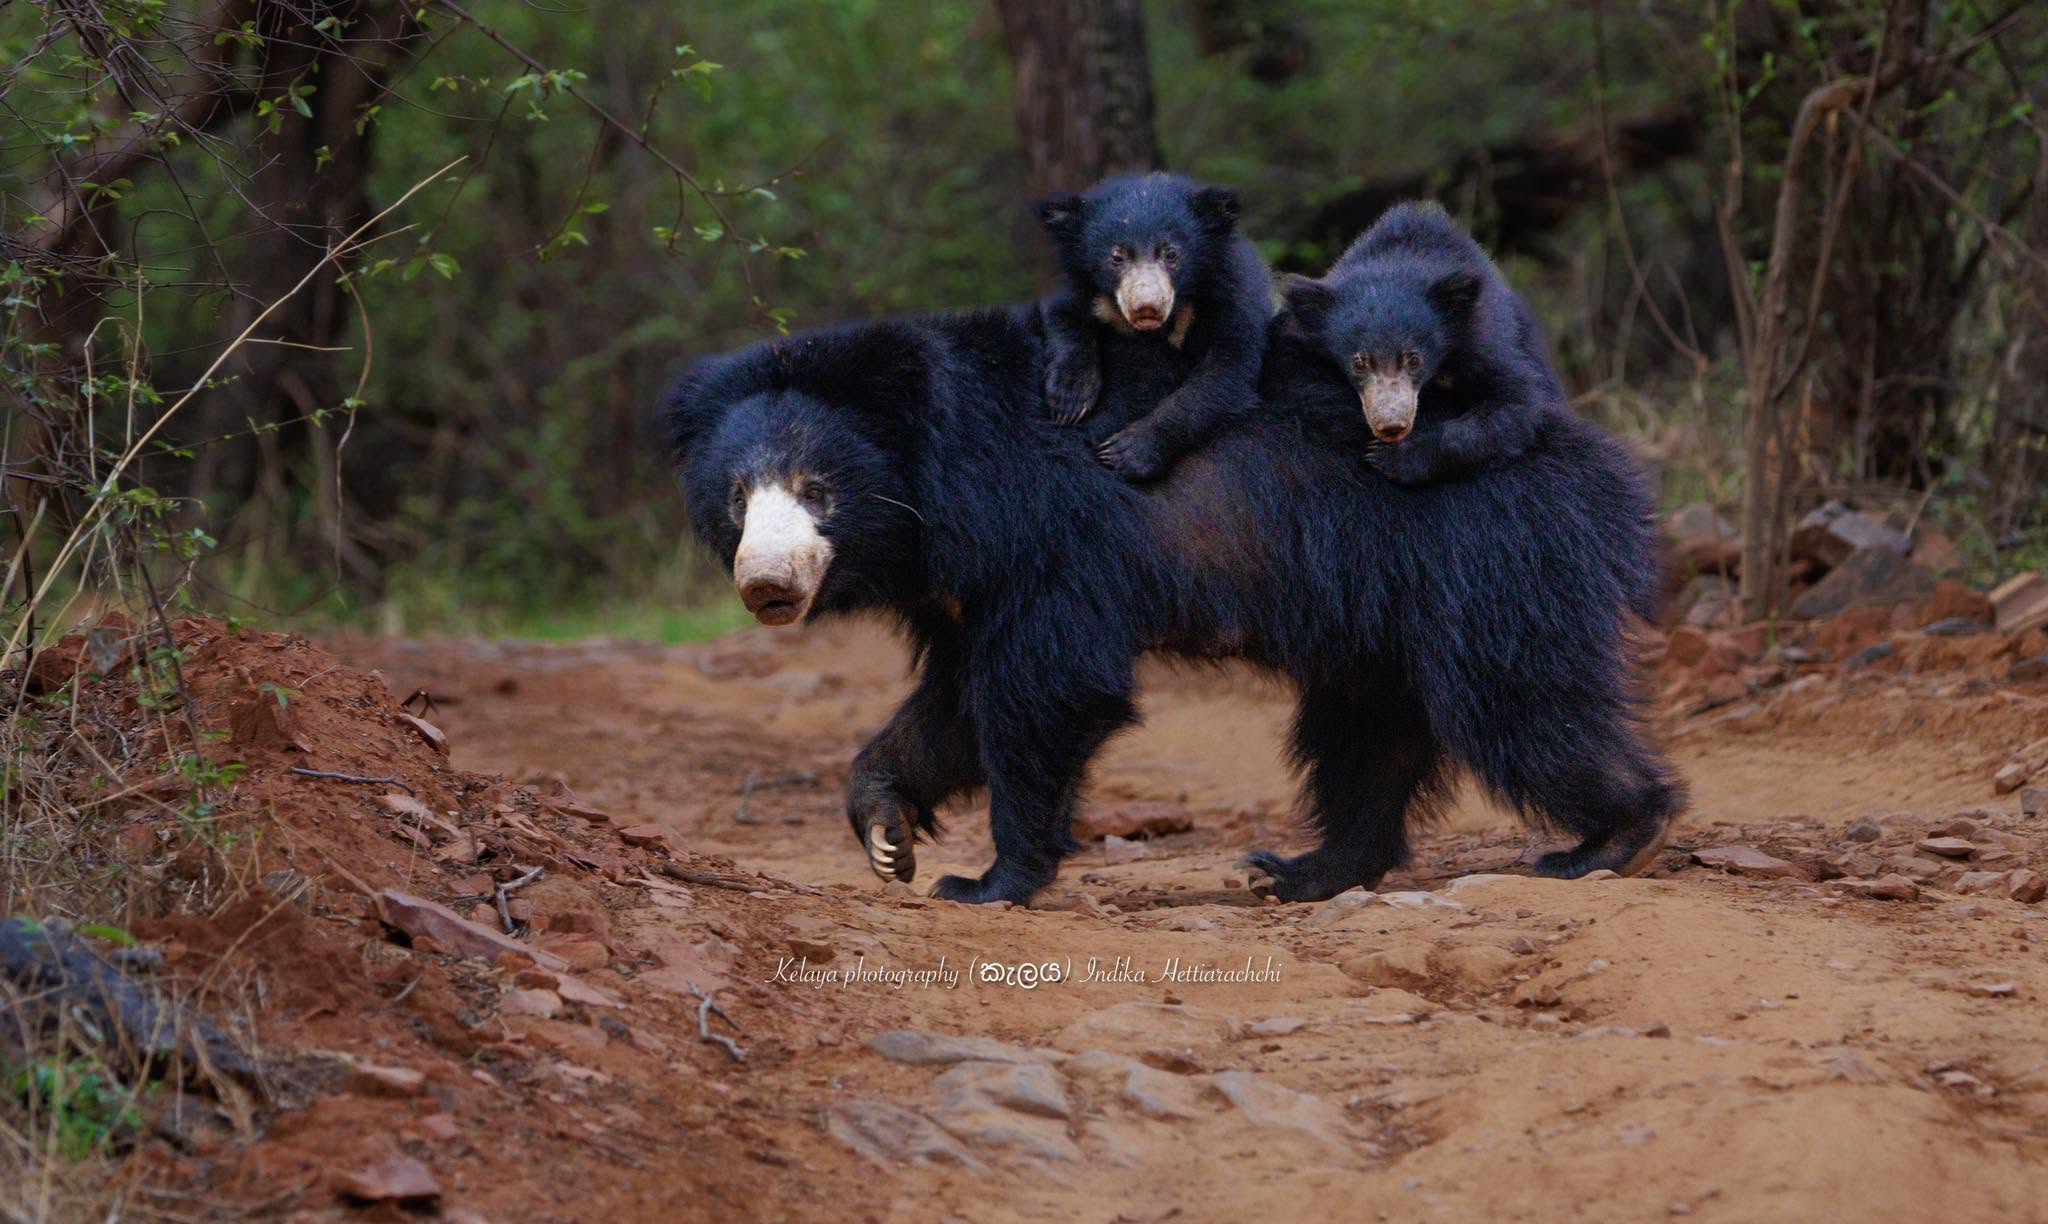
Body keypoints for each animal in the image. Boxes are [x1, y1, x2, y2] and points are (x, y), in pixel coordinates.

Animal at [662, 304, 1679, 906]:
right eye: (736, 497)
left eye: (818, 489)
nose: (768, 586)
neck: (940, 487)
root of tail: (1601, 467)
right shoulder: (967, 583)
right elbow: (953, 705)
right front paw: (885, 829)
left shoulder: (1052, 534)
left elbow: (1048, 689)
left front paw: (987, 880)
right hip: (1384, 609)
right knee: (1364, 735)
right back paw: (1303, 871)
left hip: (1485, 559)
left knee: (1518, 706)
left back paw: (1613, 837)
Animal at [1036, 173, 1273, 482]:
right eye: (1117, 257)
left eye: (1170, 254)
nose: (1146, 307)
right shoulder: (1086, 292)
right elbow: (1064, 316)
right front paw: (1070, 399)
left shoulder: (1230, 300)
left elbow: (1224, 374)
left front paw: (1125, 452)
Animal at [1281, 200, 1565, 487]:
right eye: (1359, 362)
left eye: (1414, 358)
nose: (1391, 425)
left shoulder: (1483, 339)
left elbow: (1514, 403)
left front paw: (1394, 458)